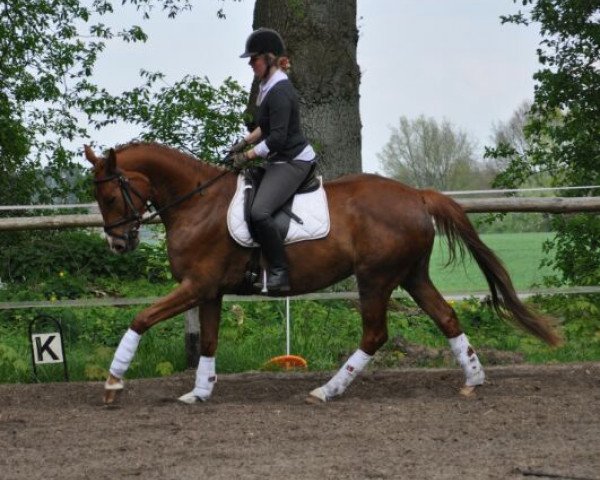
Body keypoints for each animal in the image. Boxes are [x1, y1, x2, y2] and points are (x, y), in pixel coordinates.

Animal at [82, 143, 560, 404]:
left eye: (110, 195)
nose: (118, 244)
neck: (197, 204)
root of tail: (416, 195)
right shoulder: (209, 291)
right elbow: (211, 342)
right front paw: (199, 392)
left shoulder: (196, 286)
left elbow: (140, 318)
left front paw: (112, 383)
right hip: (411, 276)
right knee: (446, 317)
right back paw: (473, 380)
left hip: (375, 279)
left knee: (375, 335)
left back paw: (327, 390)